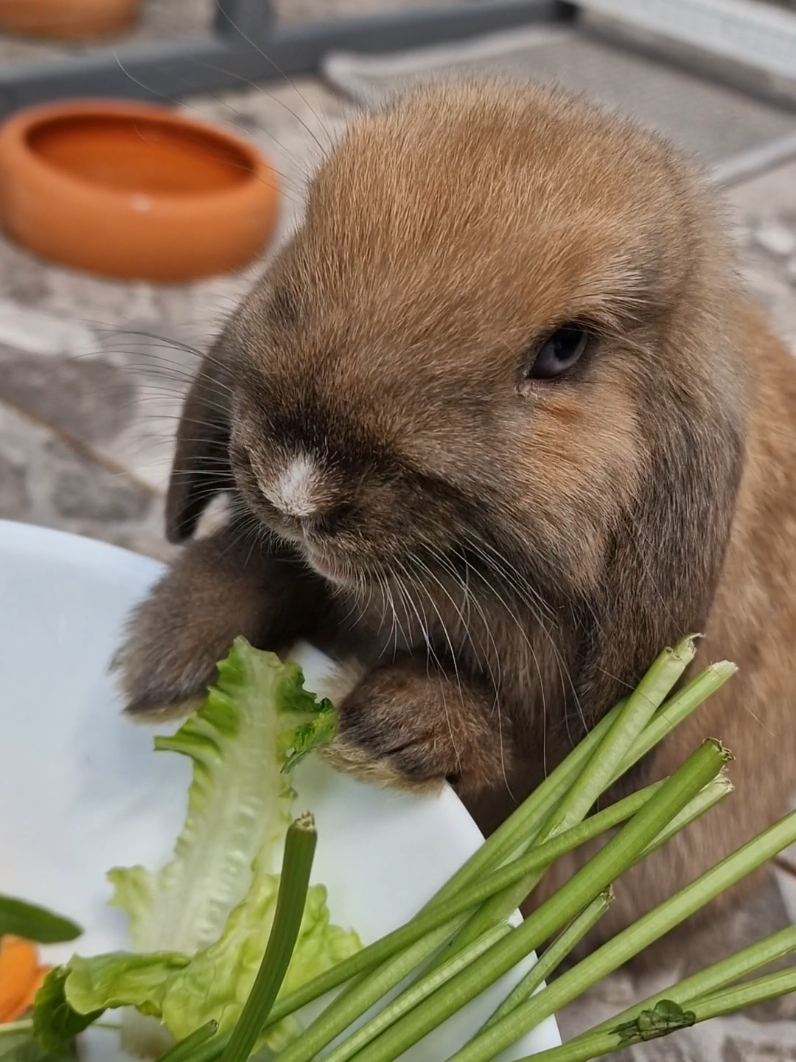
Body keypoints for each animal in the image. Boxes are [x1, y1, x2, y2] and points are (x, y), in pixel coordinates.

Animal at [114, 78, 796, 963]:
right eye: (311, 229)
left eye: (565, 348)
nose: (295, 482)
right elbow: (252, 568)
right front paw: (162, 659)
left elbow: (498, 742)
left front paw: (379, 732)